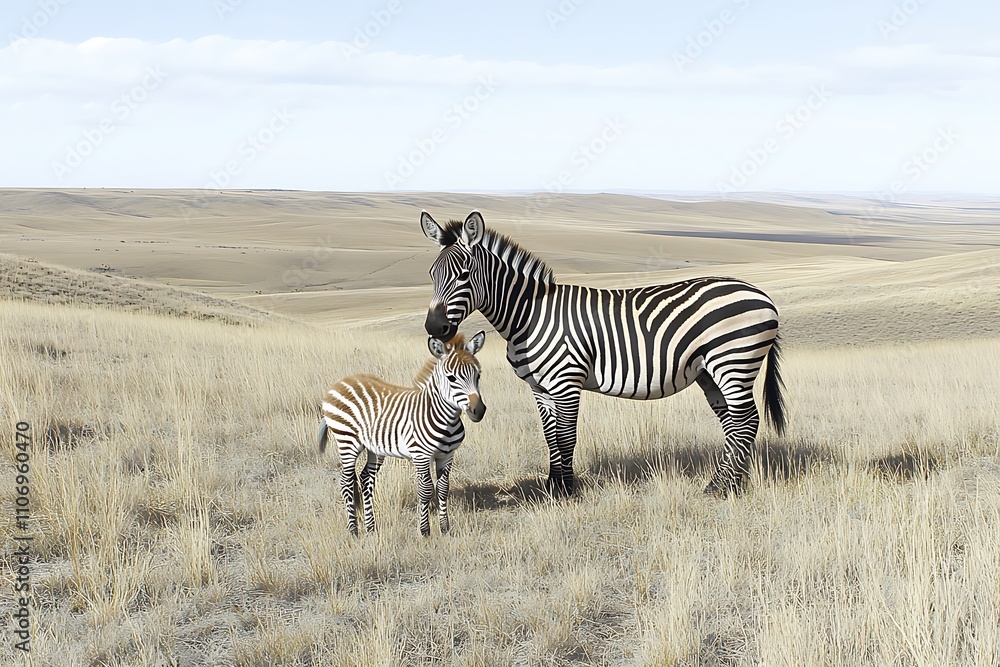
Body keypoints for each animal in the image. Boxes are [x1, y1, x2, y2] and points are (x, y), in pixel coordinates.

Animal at [318, 331, 487, 536]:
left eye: (478, 376)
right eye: (451, 378)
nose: (478, 410)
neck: (444, 417)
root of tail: (339, 383)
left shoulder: (447, 455)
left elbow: (443, 489)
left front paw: (445, 528)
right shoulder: (421, 455)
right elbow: (426, 490)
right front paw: (425, 531)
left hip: (374, 448)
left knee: (366, 478)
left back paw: (371, 528)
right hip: (347, 441)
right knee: (346, 482)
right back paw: (353, 530)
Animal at [420, 210, 785, 497]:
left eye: (464, 275)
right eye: (431, 274)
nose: (434, 327)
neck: (529, 315)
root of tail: (761, 293)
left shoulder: (566, 381)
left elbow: (566, 437)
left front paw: (568, 491)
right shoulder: (540, 388)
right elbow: (550, 438)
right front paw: (553, 488)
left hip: (734, 362)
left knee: (746, 421)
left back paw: (726, 487)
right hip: (709, 371)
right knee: (734, 424)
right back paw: (729, 483)